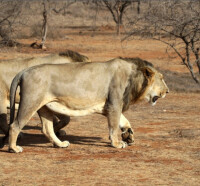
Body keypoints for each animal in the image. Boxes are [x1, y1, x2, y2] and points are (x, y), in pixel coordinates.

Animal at [1, 58, 169, 153]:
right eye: (161, 78)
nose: (168, 91)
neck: (134, 80)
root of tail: (23, 71)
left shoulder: (112, 106)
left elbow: (124, 121)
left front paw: (129, 135)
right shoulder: (113, 104)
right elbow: (114, 126)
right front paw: (116, 143)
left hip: (45, 107)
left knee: (47, 129)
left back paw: (60, 144)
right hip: (30, 102)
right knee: (15, 125)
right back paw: (14, 148)